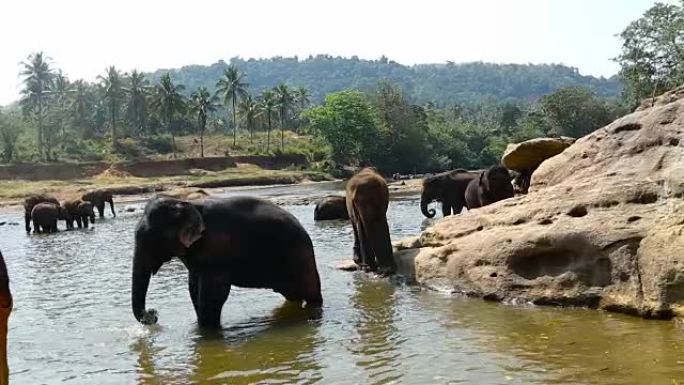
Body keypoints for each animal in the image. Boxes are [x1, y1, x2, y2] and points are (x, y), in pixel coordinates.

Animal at [132, 195, 322, 328]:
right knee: (293, 296)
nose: (153, 313)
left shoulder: (217, 247)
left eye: (152, 239)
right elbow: (194, 287)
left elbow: (214, 293)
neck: (186, 202)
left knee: (311, 294)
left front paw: (207, 332)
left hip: (301, 257)